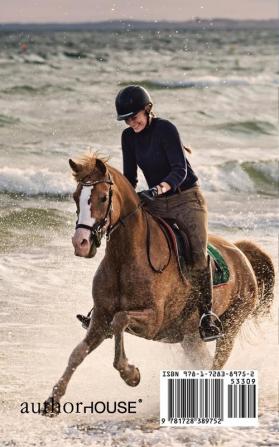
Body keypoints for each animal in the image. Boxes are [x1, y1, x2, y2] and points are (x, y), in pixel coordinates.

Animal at [42, 156, 276, 418]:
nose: (80, 243)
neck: (125, 259)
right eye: (75, 196)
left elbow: (121, 320)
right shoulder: (100, 320)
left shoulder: (153, 320)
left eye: (102, 197)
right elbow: (77, 353)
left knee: (216, 363)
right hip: (190, 339)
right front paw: (52, 401)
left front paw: (130, 374)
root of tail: (241, 253)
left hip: (230, 328)